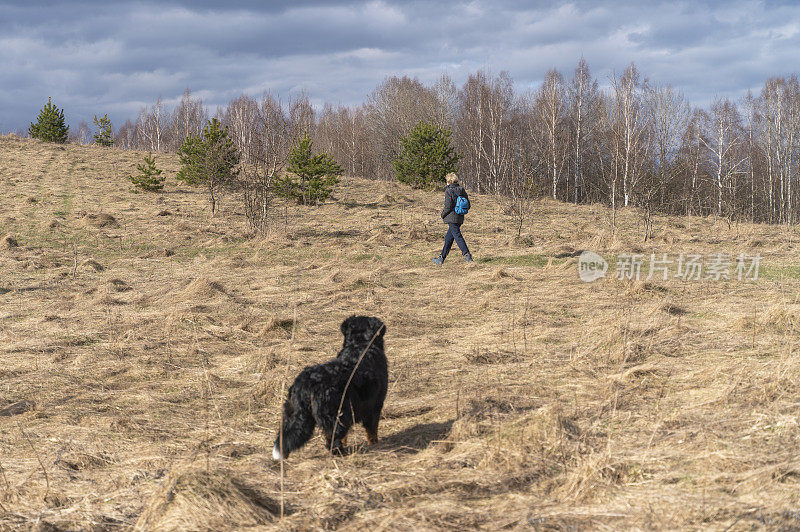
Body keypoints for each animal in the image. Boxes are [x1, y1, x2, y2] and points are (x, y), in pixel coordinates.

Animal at [274, 314, 390, 460]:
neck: (360, 345)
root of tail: (306, 383)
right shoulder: (375, 405)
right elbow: (372, 429)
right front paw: (374, 444)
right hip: (335, 415)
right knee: (333, 440)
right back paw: (341, 453)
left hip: (292, 413)